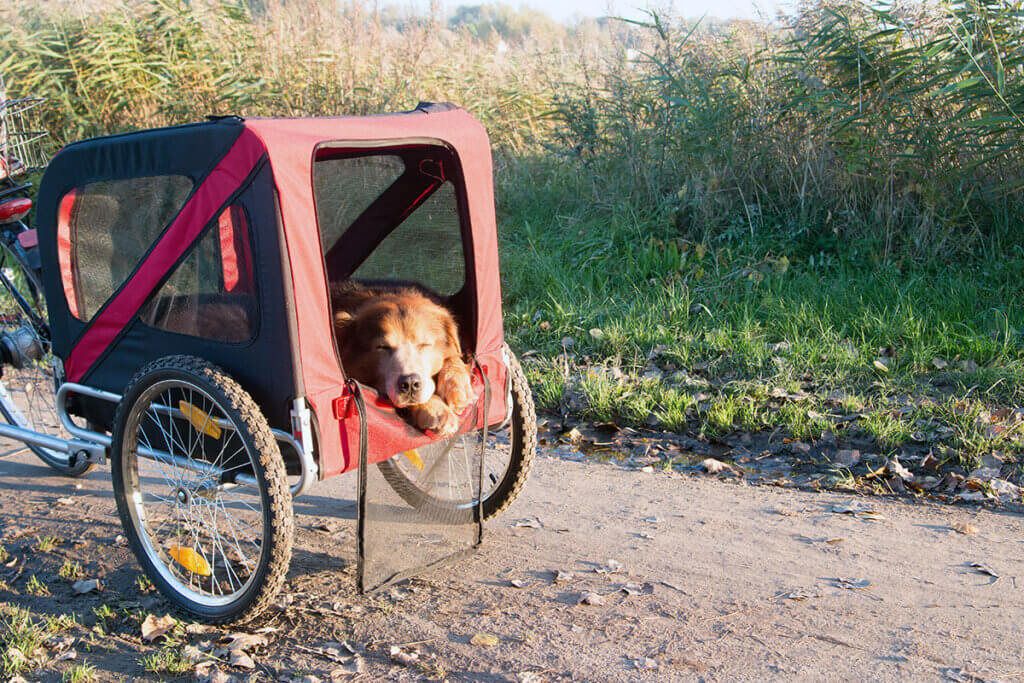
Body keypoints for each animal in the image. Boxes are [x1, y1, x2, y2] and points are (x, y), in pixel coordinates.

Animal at [329, 282, 473, 438]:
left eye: (424, 344)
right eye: (382, 347)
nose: (410, 383)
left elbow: (454, 358)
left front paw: (458, 387)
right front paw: (436, 409)